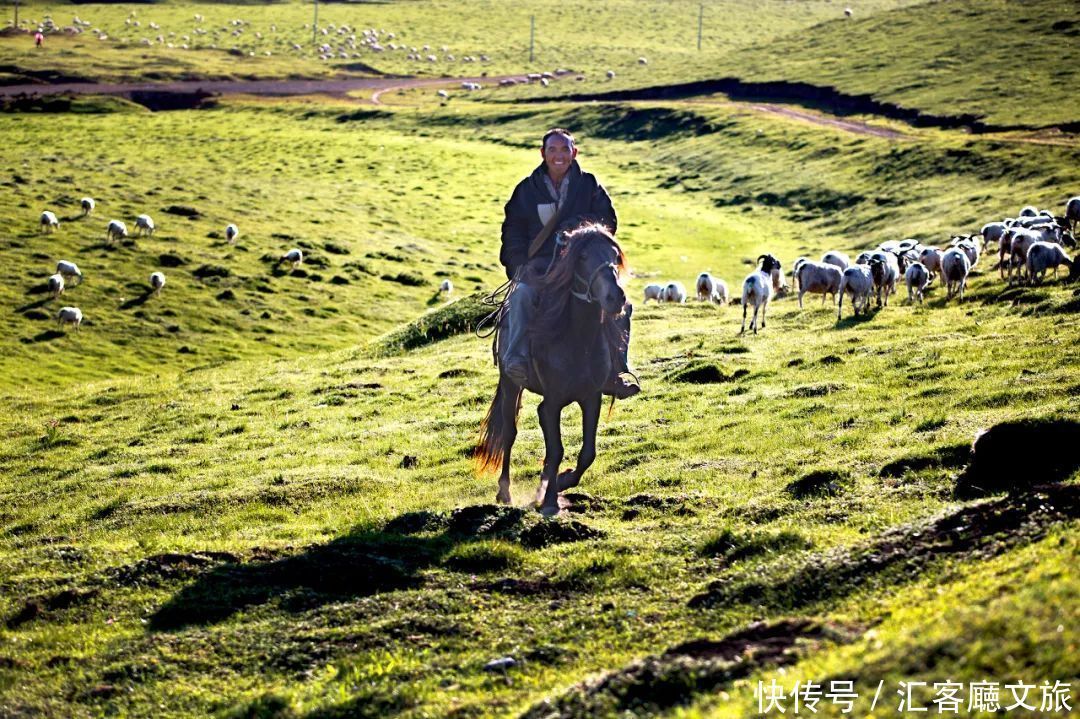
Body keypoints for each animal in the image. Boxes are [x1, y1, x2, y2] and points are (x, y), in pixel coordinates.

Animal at [477, 221, 630, 511]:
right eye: (582, 257)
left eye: (615, 256)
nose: (615, 298)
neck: (577, 340)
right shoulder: (552, 403)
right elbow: (556, 450)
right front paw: (549, 499)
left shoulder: (591, 398)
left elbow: (587, 452)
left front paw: (562, 481)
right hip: (511, 384)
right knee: (509, 433)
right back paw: (505, 492)